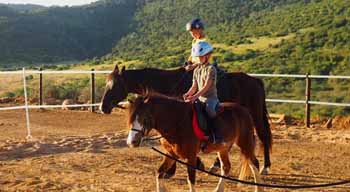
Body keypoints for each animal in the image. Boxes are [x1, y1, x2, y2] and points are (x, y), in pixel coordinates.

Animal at [100, 66, 272, 176]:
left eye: (115, 85)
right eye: (106, 83)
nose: (103, 107)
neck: (167, 83)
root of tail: (255, 80)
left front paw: (172, 170)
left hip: (255, 115)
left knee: (263, 136)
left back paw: (265, 167)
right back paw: (216, 165)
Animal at [126, 94, 262, 192]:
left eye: (144, 118)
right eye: (131, 119)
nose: (131, 142)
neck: (177, 123)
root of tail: (244, 110)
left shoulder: (191, 156)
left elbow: (190, 179)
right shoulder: (171, 154)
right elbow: (159, 173)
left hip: (245, 143)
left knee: (254, 164)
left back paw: (259, 188)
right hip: (223, 148)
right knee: (226, 167)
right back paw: (218, 189)